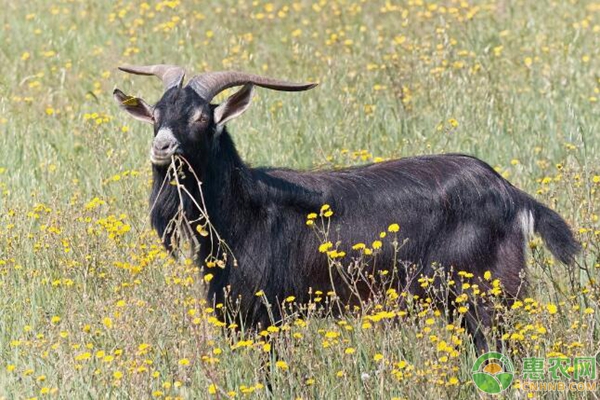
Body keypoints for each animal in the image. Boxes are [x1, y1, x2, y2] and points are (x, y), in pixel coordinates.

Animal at [112, 64, 576, 348]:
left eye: (201, 118)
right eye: (156, 114)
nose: (162, 147)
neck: (245, 209)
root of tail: (510, 192)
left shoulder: (267, 312)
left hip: (484, 292)